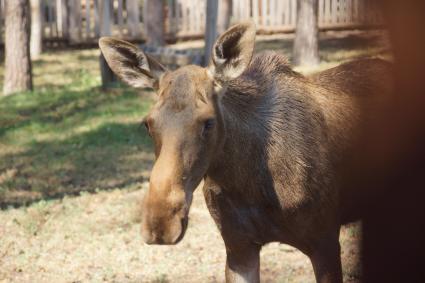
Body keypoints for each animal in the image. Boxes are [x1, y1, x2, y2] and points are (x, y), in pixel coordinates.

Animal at [98, 21, 390, 282]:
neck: (248, 182)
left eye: (208, 121)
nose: (160, 222)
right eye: (147, 124)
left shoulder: (325, 241)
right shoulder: (238, 247)